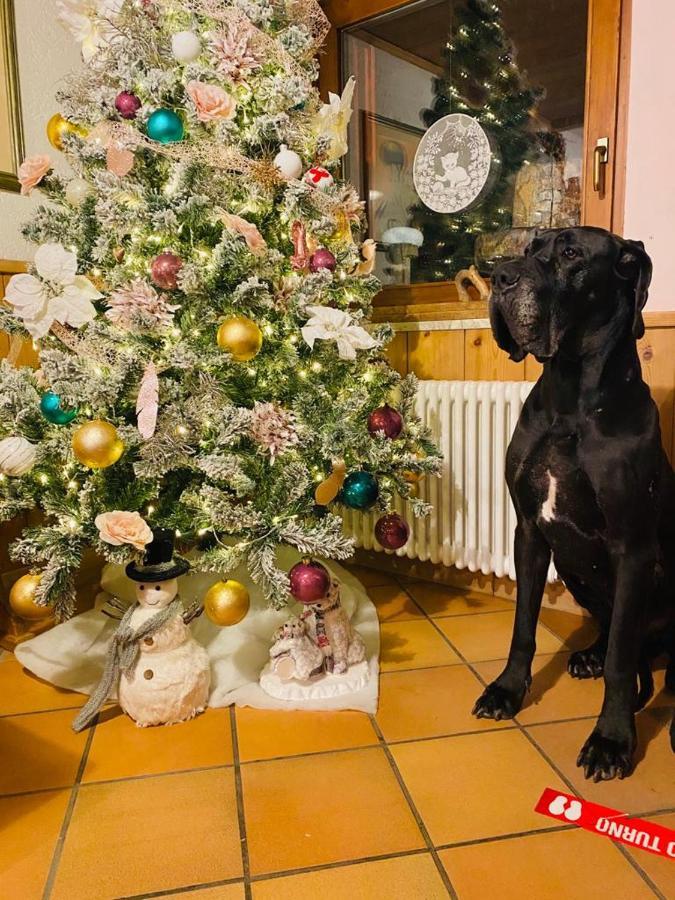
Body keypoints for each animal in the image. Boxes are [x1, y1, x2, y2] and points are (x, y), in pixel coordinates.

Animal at [476, 227, 675, 780]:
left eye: (570, 254)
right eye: (528, 251)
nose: (499, 276)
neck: (572, 403)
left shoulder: (634, 549)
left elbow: (622, 662)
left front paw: (612, 740)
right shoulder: (529, 531)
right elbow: (523, 626)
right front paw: (507, 690)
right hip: (572, 569)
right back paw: (589, 653)